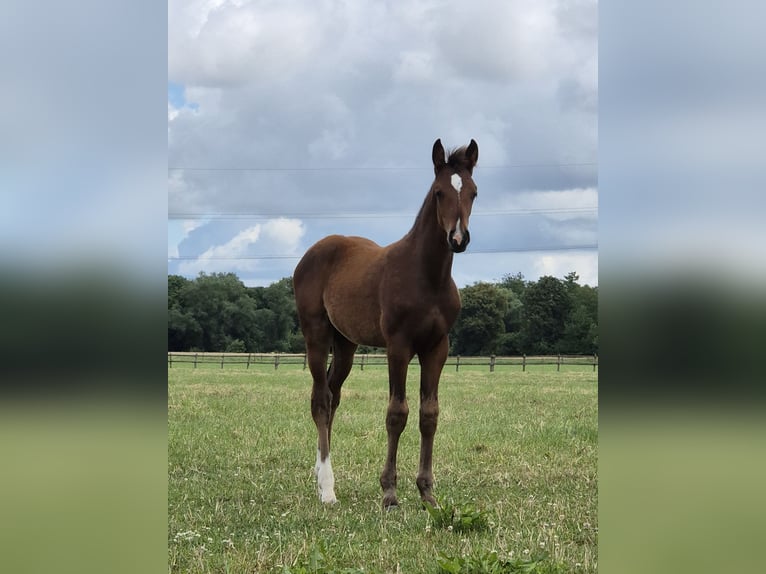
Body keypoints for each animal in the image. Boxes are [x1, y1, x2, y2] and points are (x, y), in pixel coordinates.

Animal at [296, 138, 480, 508]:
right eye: (439, 192)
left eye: (473, 192)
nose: (458, 238)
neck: (427, 277)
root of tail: (312, 252)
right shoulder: (398, 346)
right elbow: (397, 413)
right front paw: (390, 492)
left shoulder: (437, 347)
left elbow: (429, 414)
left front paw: (427, 493)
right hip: (316, 335)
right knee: (321, 400)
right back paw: (327, 488)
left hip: (346, 343)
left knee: (332, 395)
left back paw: (320, 474)